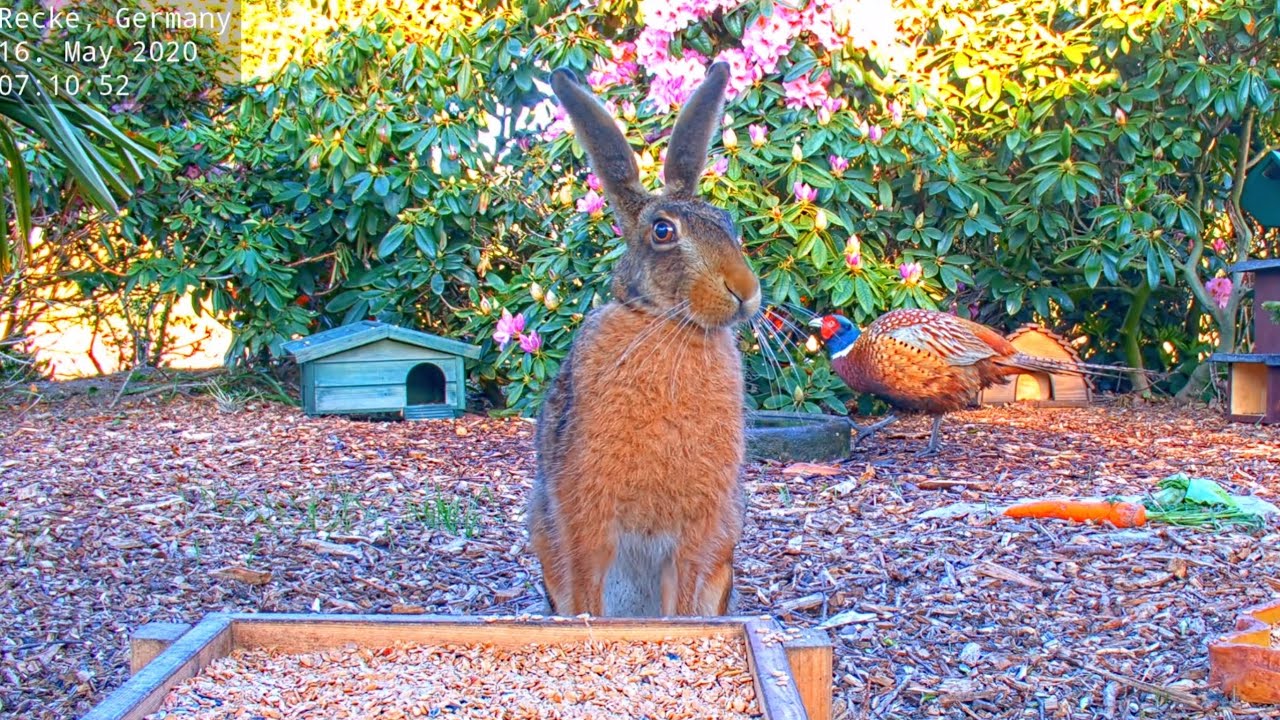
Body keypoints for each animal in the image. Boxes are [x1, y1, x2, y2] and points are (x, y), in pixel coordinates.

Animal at [527, 62, 761, 618]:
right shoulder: (585, 516)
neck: (667, 324)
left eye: (728, 224)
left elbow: (685, 593)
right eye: (662, 231)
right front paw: (590, 622)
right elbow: (588, 581)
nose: (745, 292)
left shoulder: (701, 528)